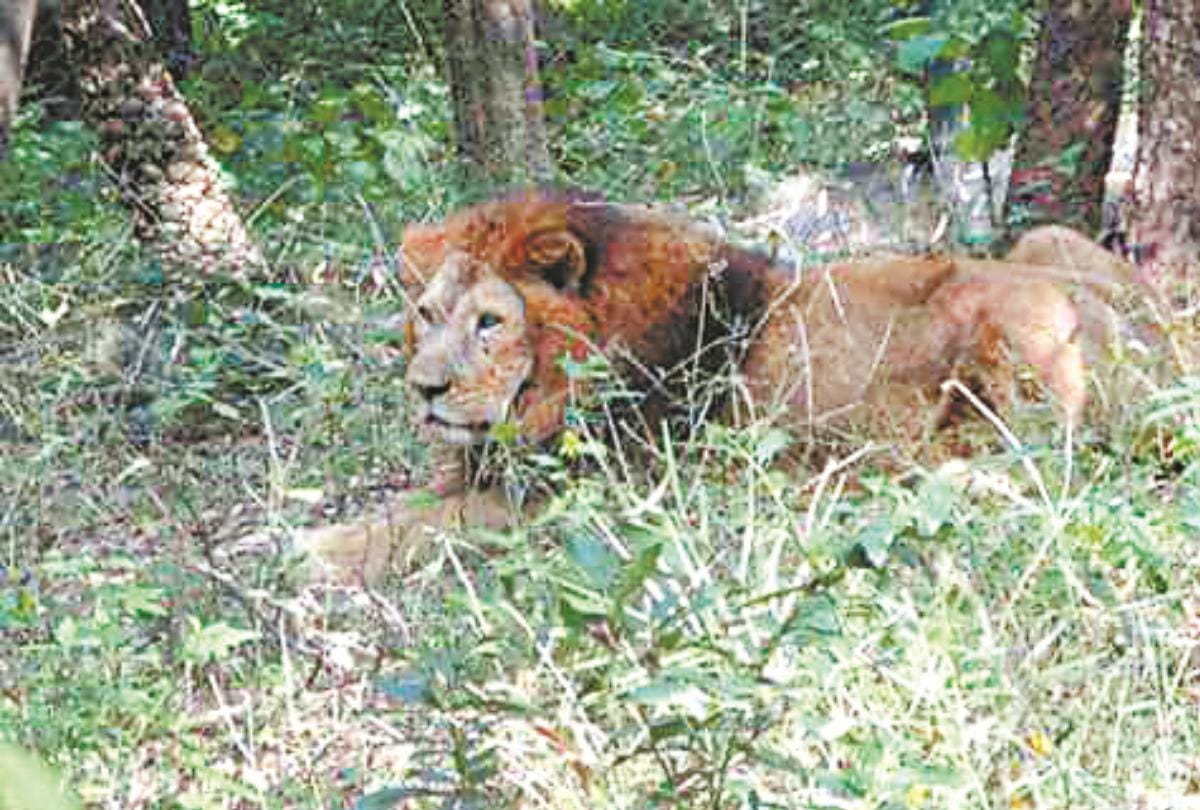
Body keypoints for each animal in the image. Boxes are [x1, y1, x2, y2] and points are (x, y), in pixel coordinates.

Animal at [298, 191, 1140, 584]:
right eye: (427, 314)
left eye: (489, 323)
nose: (424, 389)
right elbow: (411, 506)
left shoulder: (604, 492)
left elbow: (426, 525)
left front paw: (312, 550)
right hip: (1047, 245)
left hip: (1023, 320)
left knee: (1041, 466)